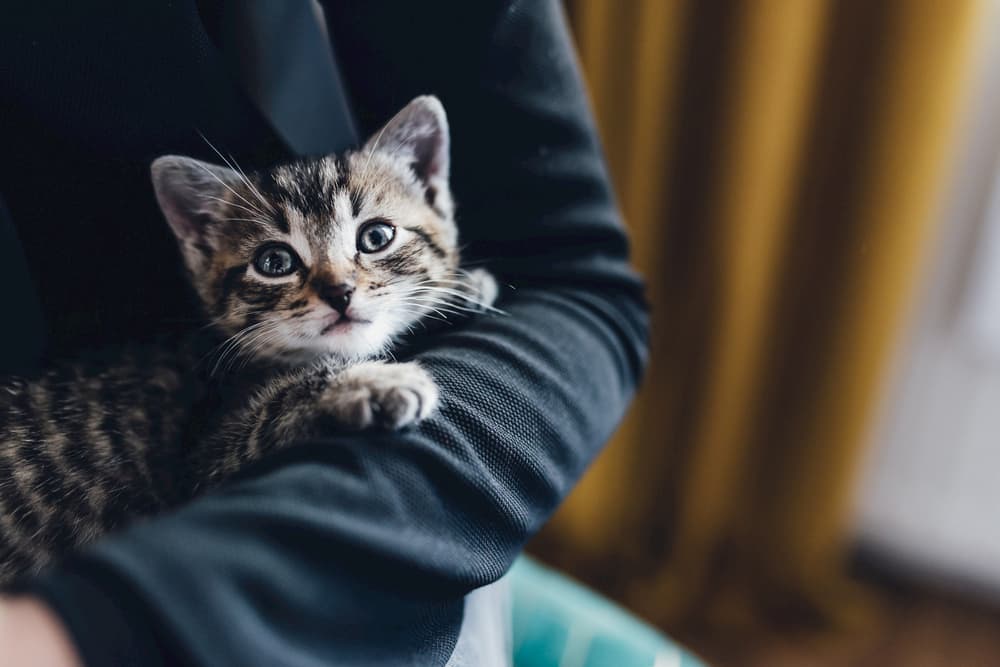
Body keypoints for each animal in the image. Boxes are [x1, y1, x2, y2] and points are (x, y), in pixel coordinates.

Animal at [0, 95, 498, 584]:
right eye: (274, 262)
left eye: (376, 236)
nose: (339, 292)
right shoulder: (205, 465)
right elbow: (276, 407)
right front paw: (368, 382)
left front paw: (458, 292)